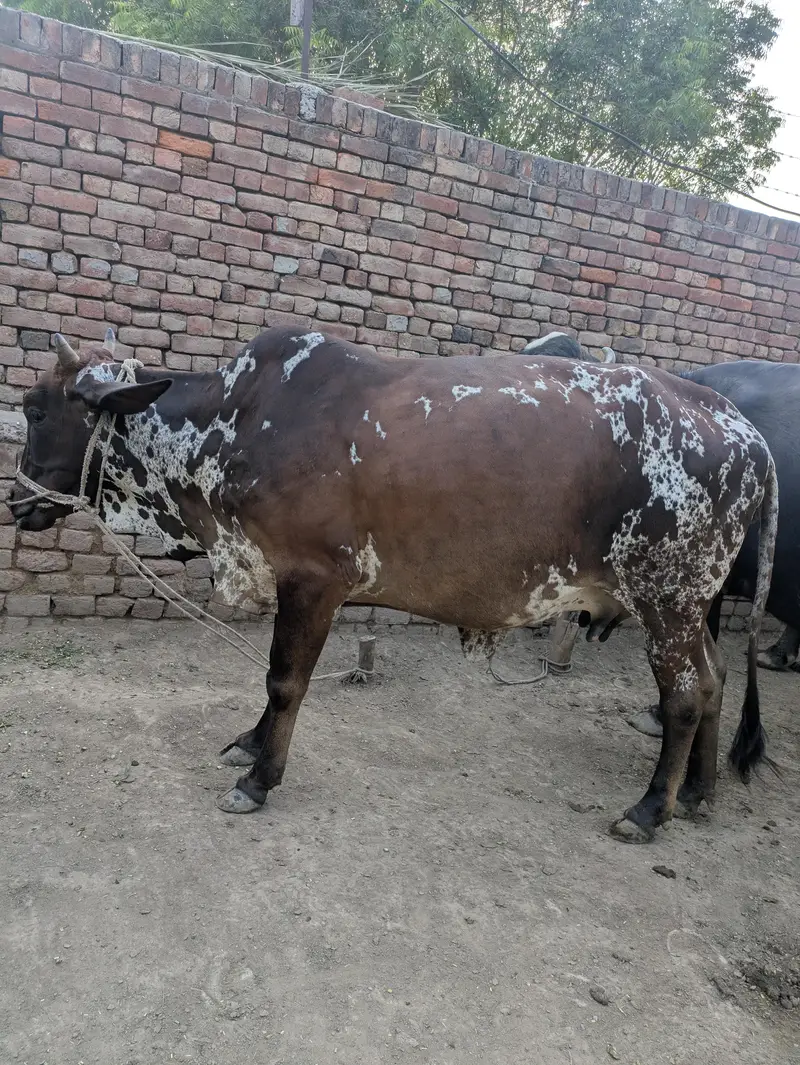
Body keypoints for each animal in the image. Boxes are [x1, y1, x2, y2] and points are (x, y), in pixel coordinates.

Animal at [10, 327, 778, 844]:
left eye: (38, 409)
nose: (16, 503)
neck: (234, 423)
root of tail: (745, 431)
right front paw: (252, 745)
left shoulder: (314, 578)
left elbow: (284, 680)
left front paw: (259, 778)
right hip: (691, 607)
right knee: (714, 683)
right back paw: (698, 793)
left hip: (668, 598)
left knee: (684, 696)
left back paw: (648, 809)